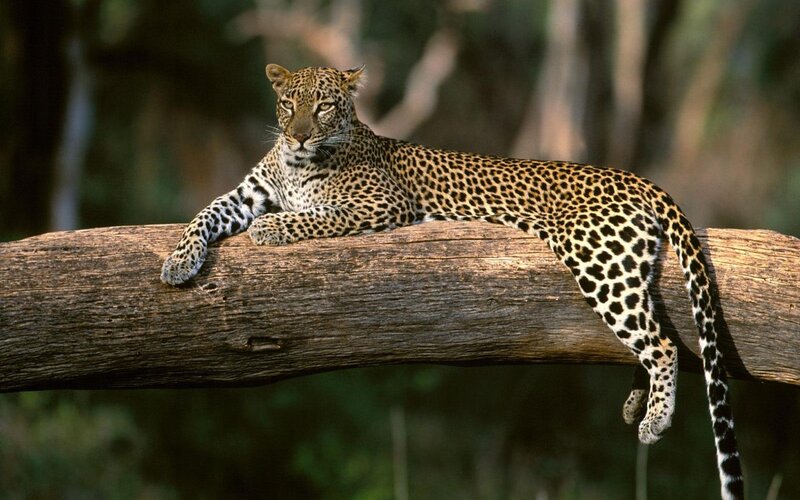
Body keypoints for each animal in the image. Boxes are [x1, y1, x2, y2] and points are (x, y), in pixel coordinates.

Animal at [161, 64, 744, 499]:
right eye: (288, 103)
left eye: (324, 105)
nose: (299, 134)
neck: (297, 164)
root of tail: (633, 175)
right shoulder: (246, 193)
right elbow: (204, 214)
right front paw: (177, 262)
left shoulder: (379, 205)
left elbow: (312, 216)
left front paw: (271, 229)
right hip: (622, 265)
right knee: (650, 330)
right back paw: (636, 401)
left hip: (597, 260)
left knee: (663, 343)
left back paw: (654, 421)